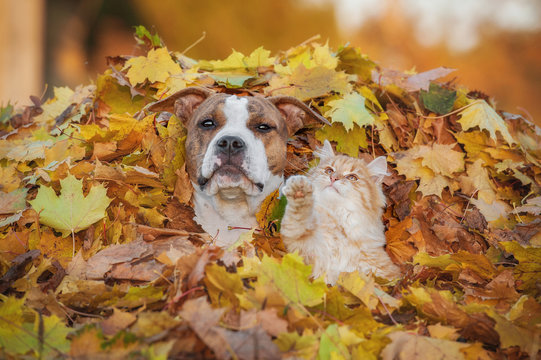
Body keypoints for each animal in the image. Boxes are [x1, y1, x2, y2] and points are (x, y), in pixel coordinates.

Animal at [280, 141, 398, 284]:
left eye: (352, 177)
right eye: (329, 171)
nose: (333, 178)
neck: (338, 222)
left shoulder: (382, 271)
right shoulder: (305, 253)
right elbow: (298, 220)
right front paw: (299, 192)